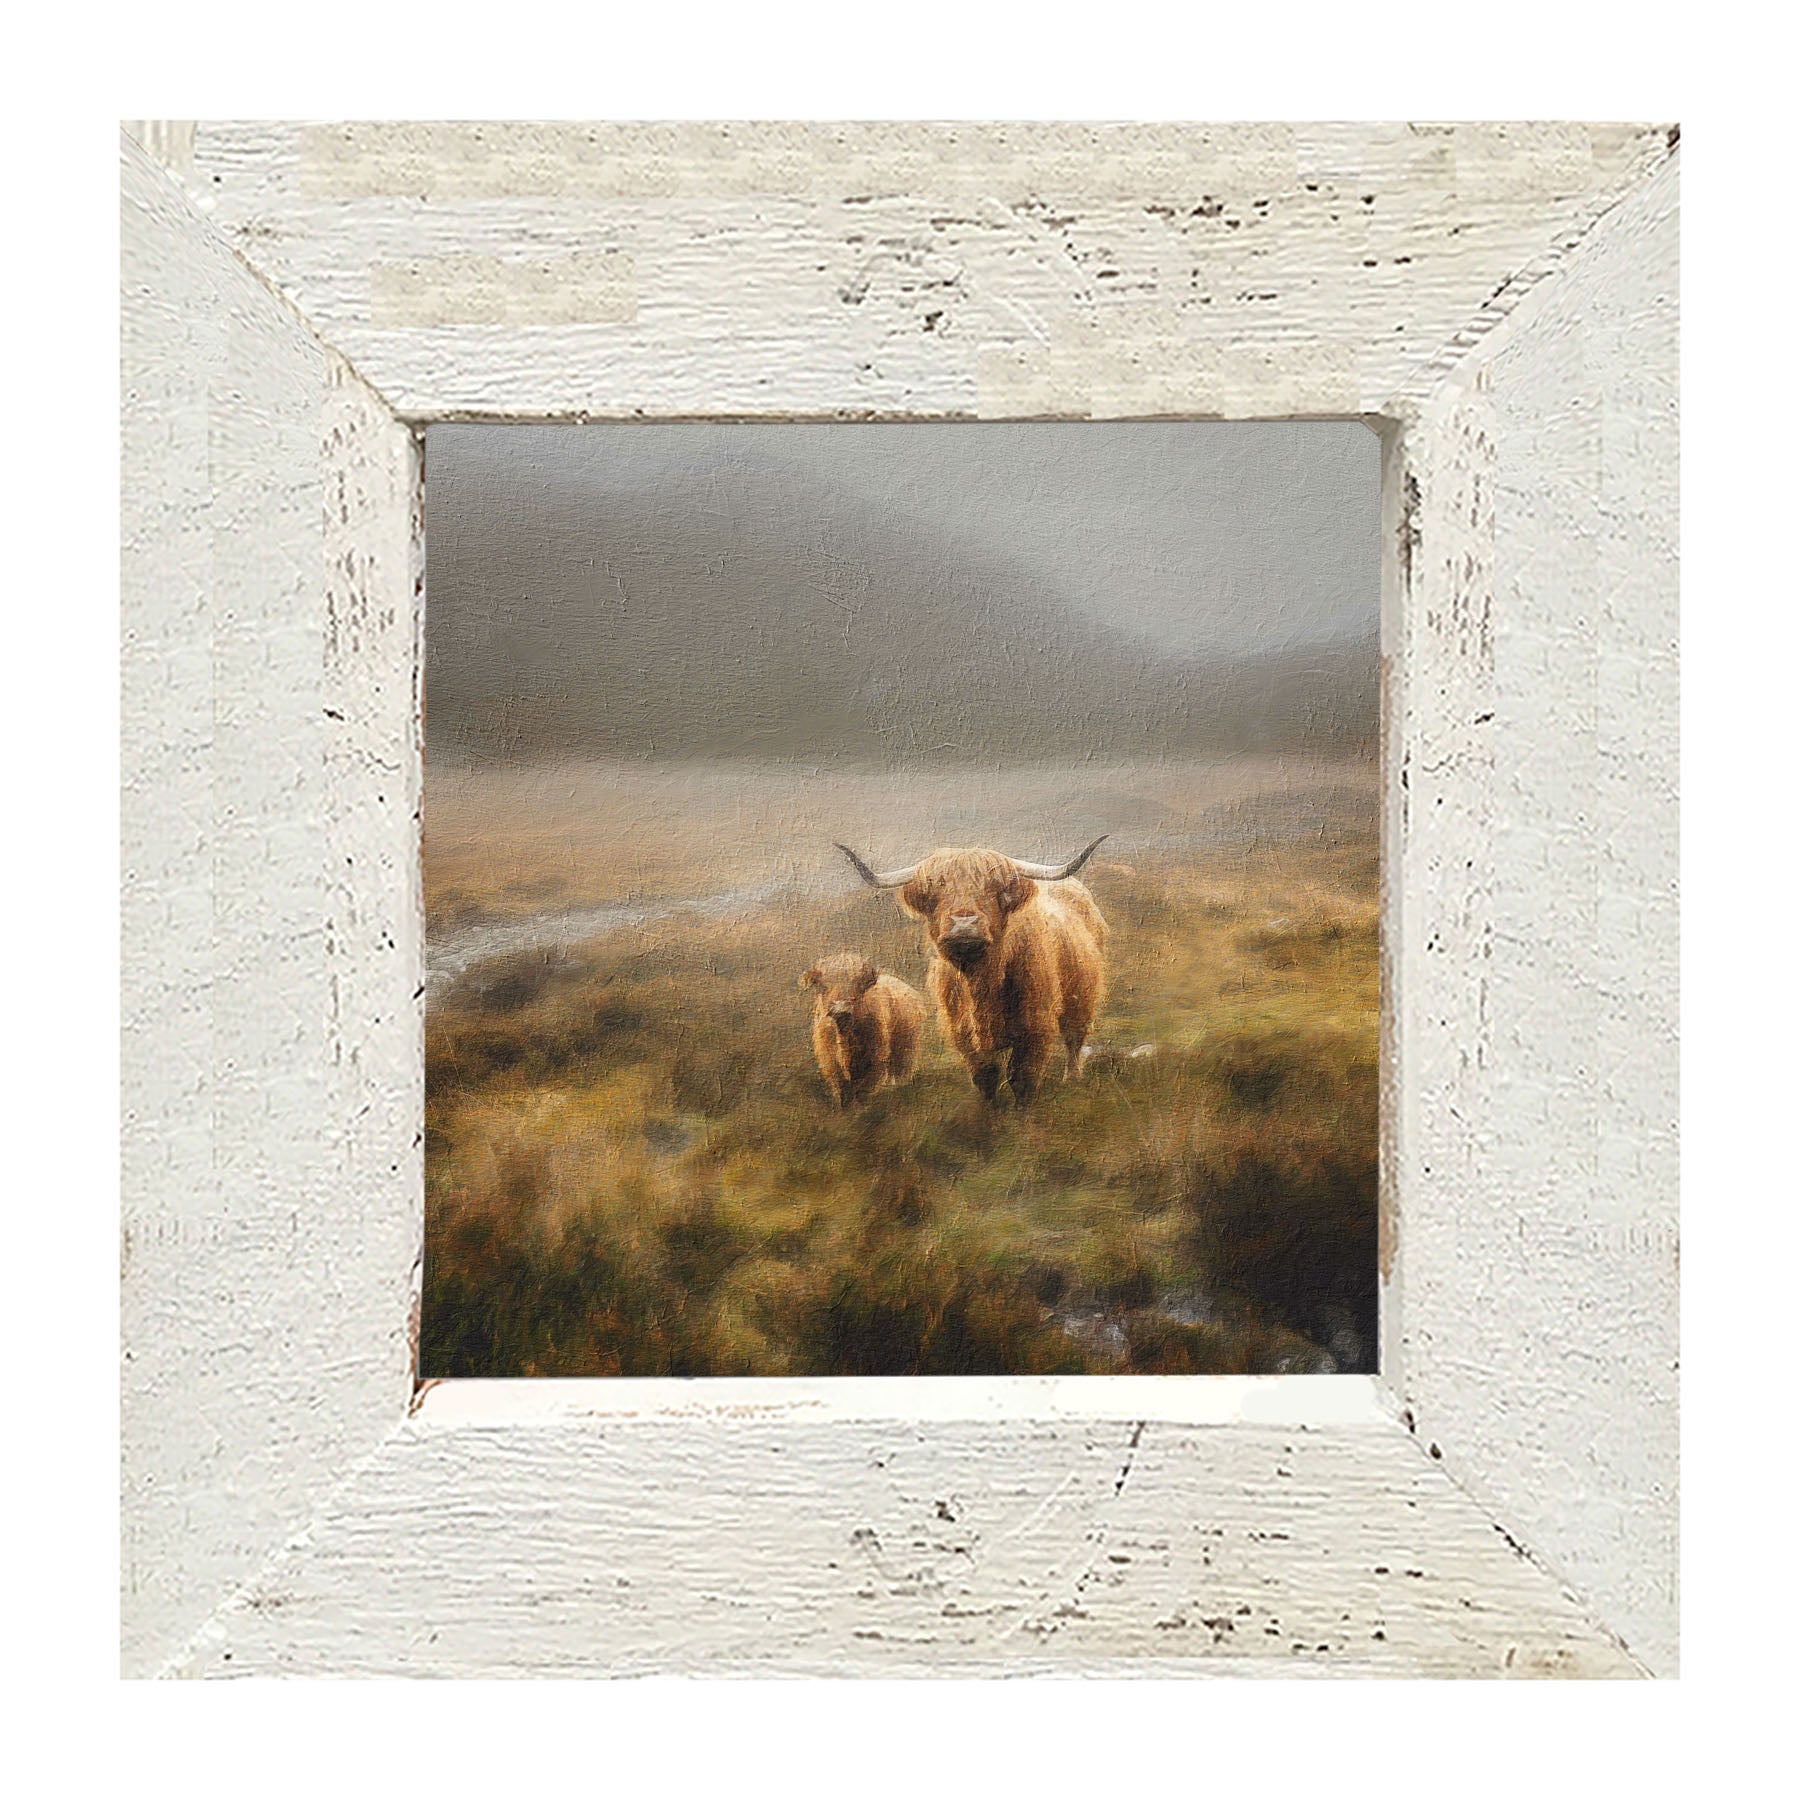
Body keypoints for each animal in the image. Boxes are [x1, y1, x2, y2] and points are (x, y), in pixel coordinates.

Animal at [798, 953, 926, 1108]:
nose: (841, 1009)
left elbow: (864, 1093)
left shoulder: (876, 1061)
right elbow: (843, 1094)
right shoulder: (830, 1063)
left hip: (908, 1050)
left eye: (859, 983)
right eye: (821, 984)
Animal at [835, 837, 1110, 1106]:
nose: (964, 925)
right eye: (935, 888)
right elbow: (986, 1075)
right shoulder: (962, 1031)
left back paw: (1072, 1078)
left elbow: (1023, 1077)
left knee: (1074, 1038)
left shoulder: (1036, 1025)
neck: (982, 982)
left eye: (994, 888)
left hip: (1082, 997)